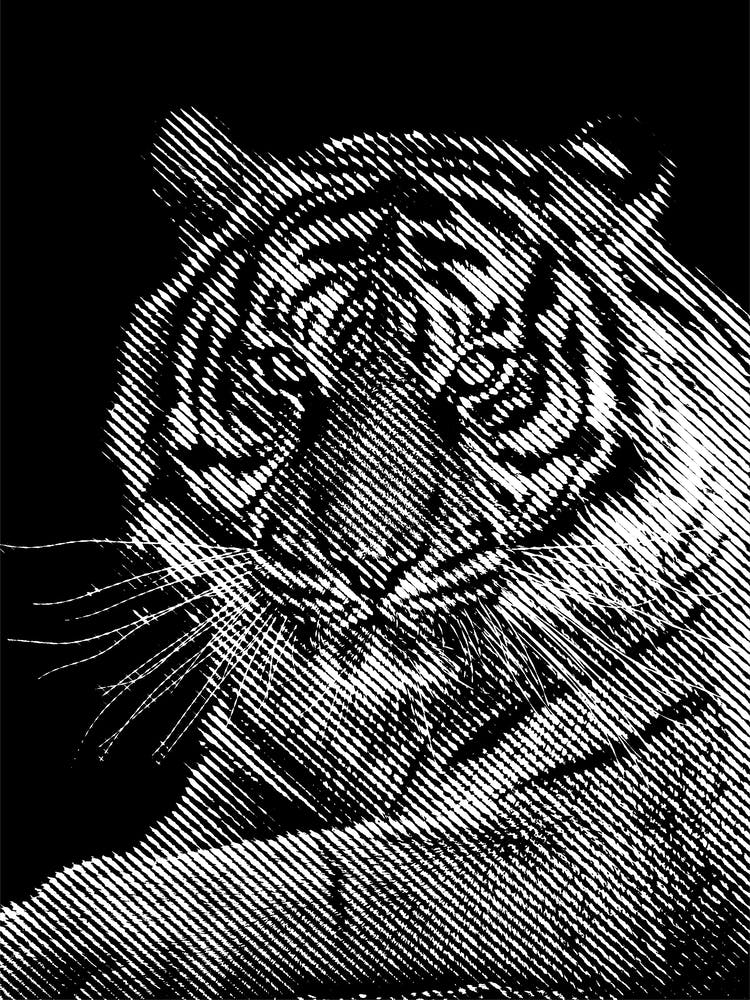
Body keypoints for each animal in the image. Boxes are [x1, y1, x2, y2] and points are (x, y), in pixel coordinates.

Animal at [1, 109, 749, 999]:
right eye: (284, 372)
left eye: (480, 371)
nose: (370, 564)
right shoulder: (238, 784)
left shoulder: (624, 829)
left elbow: (328, 875)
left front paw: (59, 945)